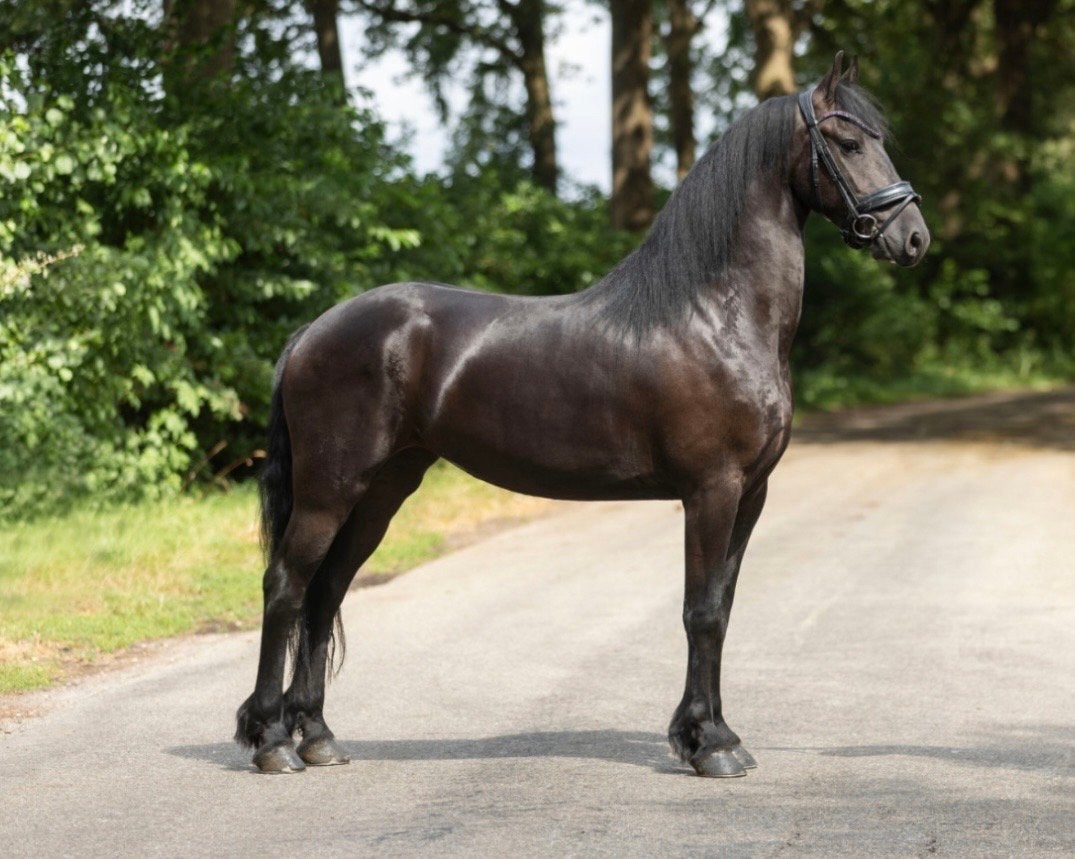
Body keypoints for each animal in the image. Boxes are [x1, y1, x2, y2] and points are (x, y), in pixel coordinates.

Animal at [235, 52, 929, 778]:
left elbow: (723, 606)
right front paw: (708, 745)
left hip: (381, 490)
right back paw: (272, 742)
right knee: (285, 586)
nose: (913, 238)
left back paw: (317, 736)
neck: (717, 316)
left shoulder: (752, 493)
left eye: (879, 139)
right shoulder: (710, 489)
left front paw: (713, 733)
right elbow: (701, 611)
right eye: (847, 142)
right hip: (329, 490)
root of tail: (312, 332)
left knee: (326, 591)